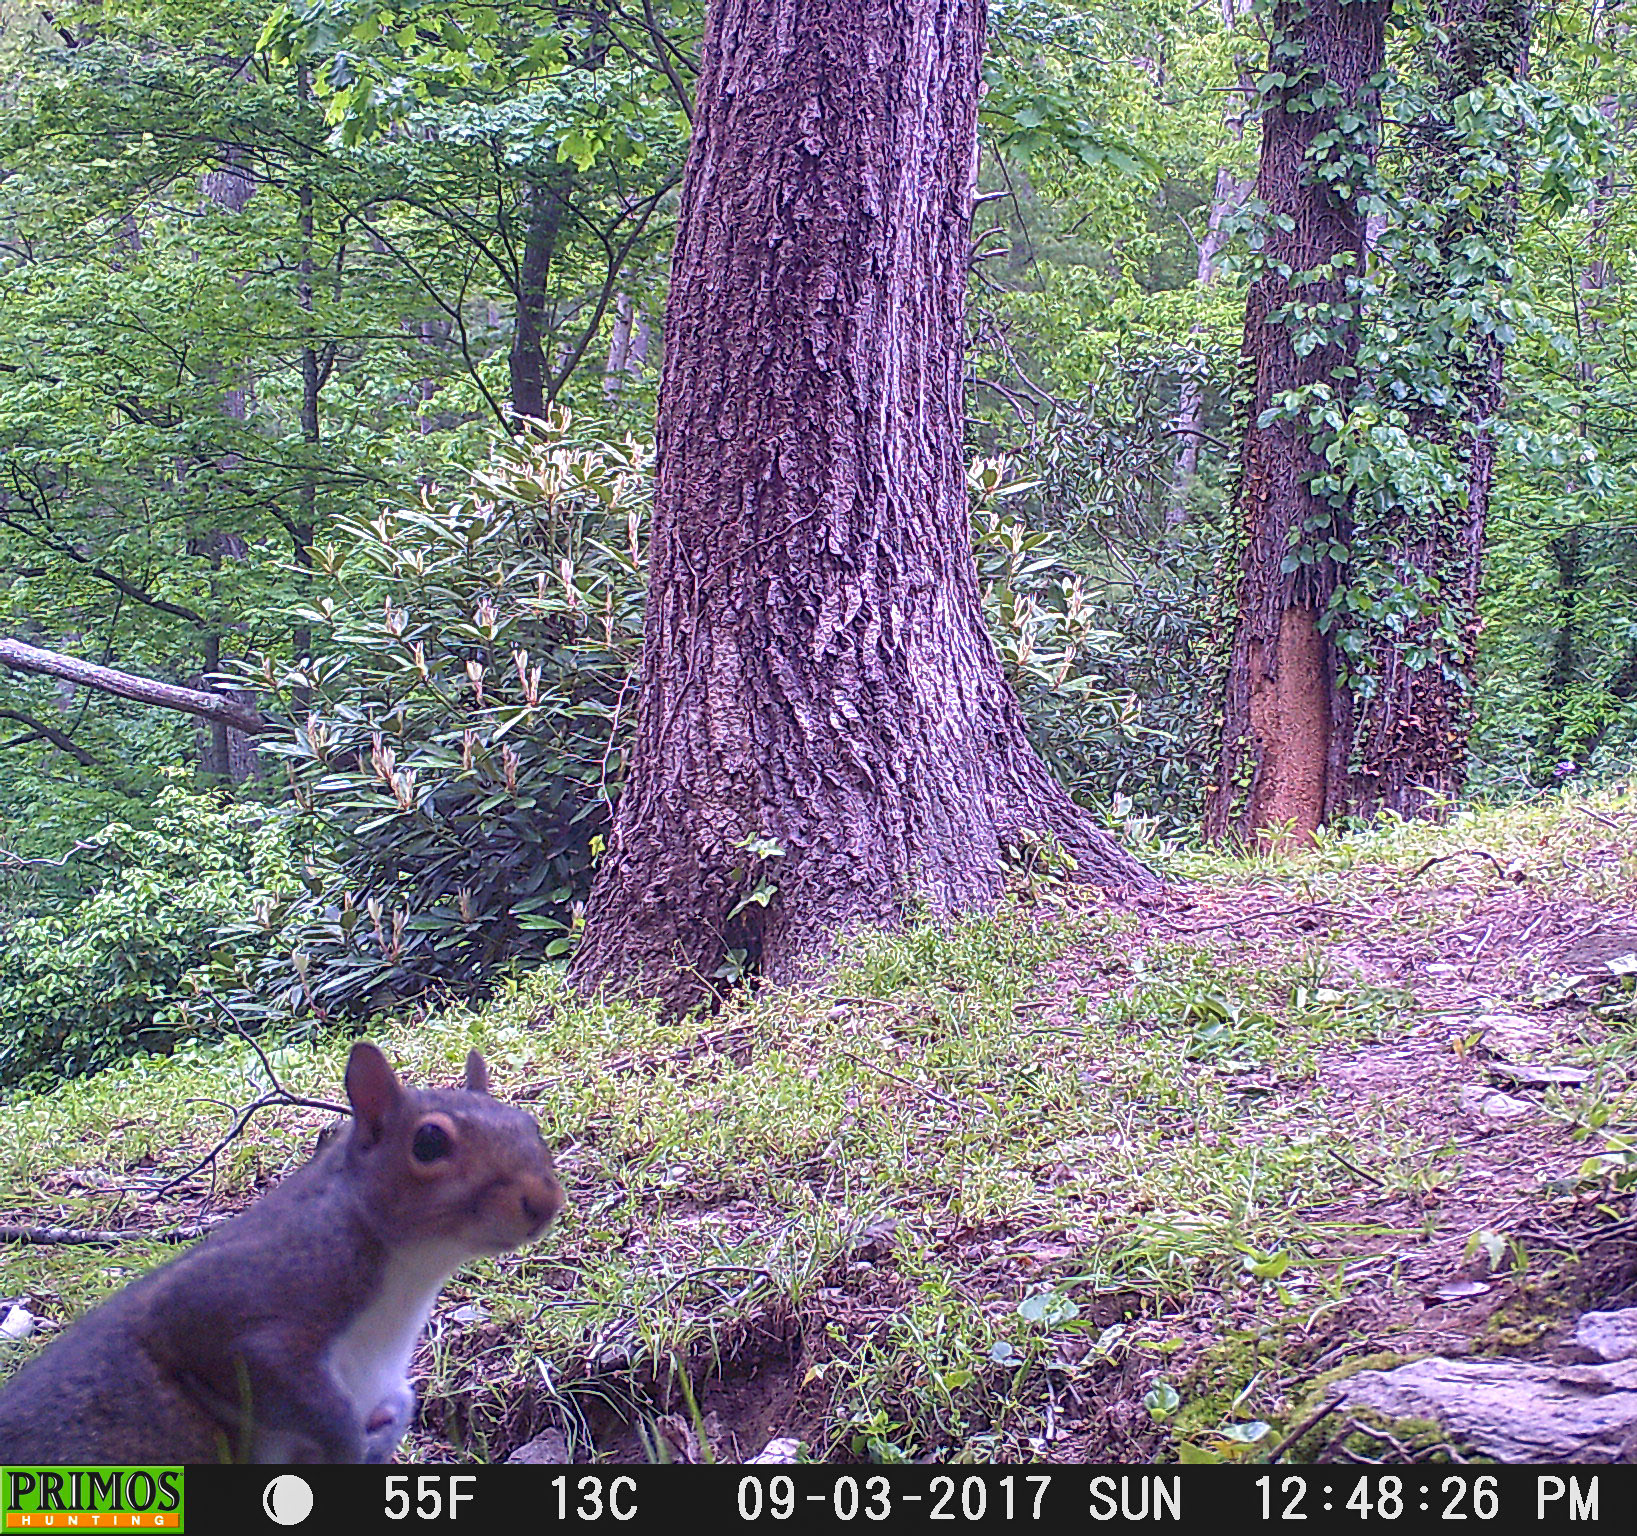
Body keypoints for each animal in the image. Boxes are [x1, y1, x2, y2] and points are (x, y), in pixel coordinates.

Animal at [0, 1042, 563, 1464]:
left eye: (529, 1124)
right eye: (428, 1143)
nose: (544, 1202)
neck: (411, 1276)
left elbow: (400, 1399)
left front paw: (389, 1424)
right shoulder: (235, 1304)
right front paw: (349, 1442)